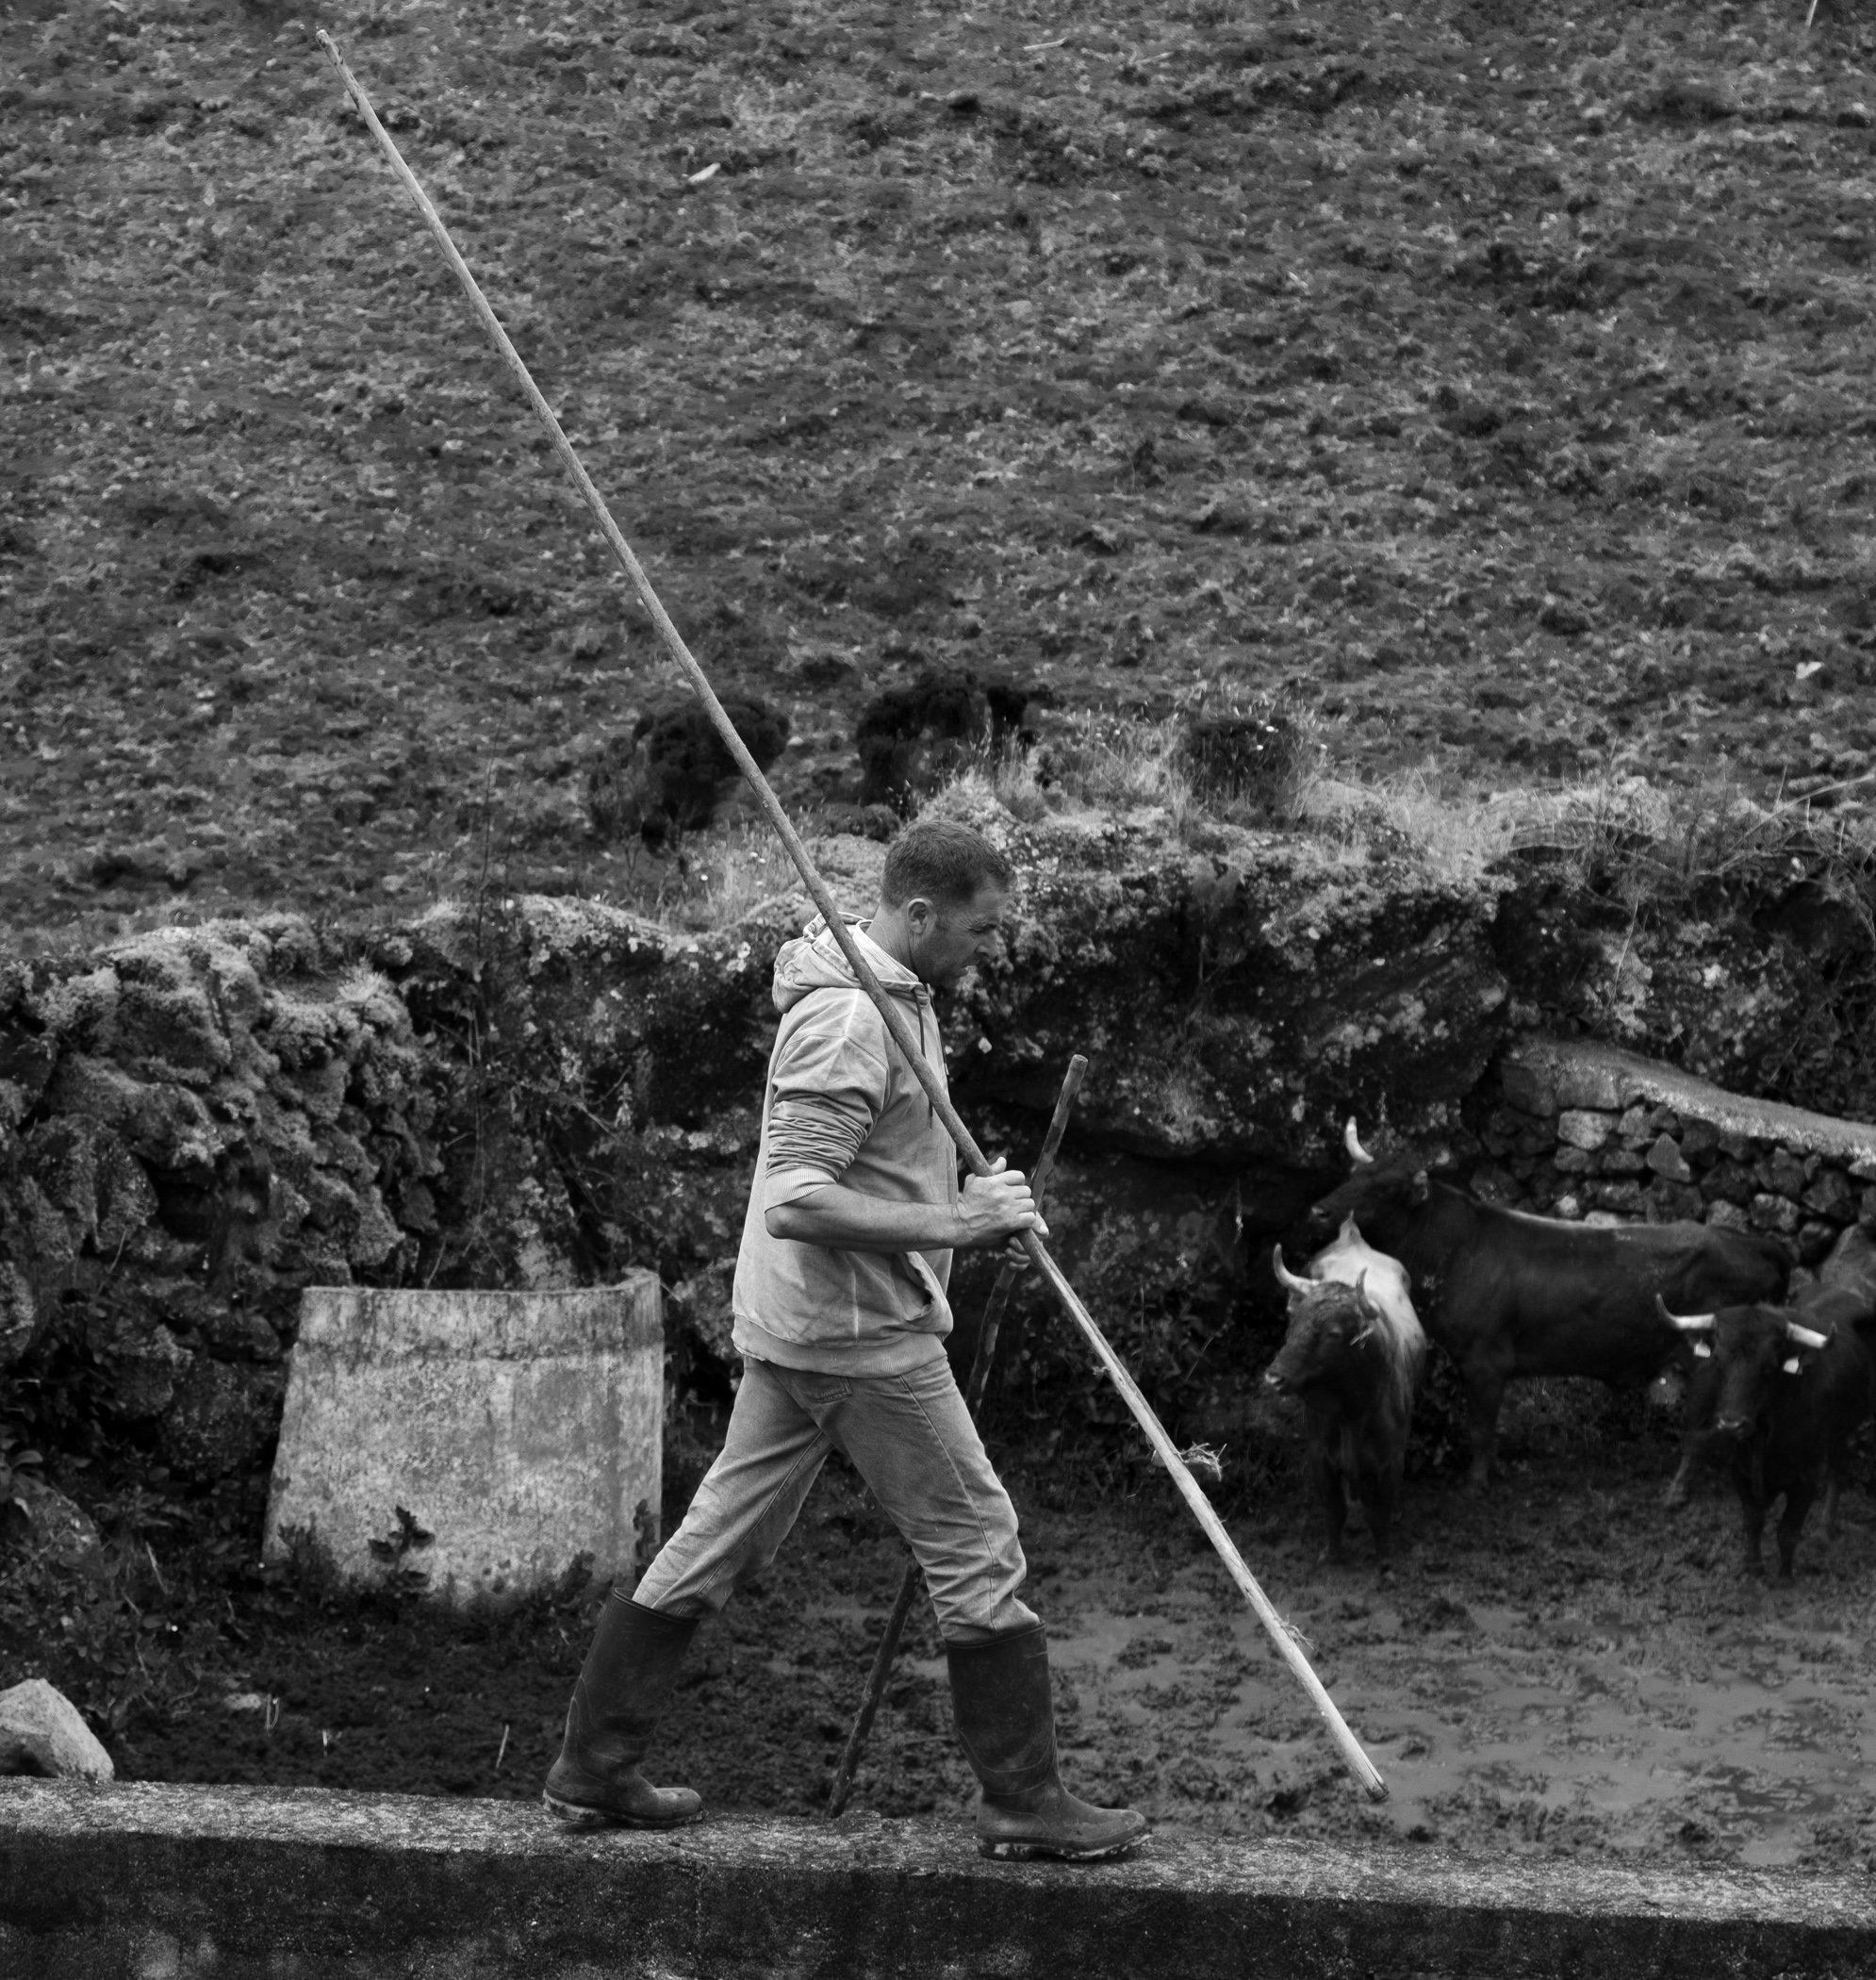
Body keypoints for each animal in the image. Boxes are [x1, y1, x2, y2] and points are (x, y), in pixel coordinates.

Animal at [1266, 1219, 1432, 1559]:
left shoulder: (1392, 1460)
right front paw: (1332, 1556)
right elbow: (1335, 1510)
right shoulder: (1320, 1456)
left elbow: (1380, 1514)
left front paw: (1384, 1558)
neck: (1353, 1411)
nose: (1275, 1378)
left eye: (1333, 1334)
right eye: (1293, 1322)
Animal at [1298, 1132, 1797, 1489]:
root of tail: (1746, 1240)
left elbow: (1480, 1429)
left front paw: (1476, 1486)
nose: (1318, 1211)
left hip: (1711, 1362)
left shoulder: (1485, 1361)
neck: (1459, 1250)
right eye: (1351, 1175)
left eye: (1382, 1188)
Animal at [1662, 1219, 1876, 1576]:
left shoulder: (1805, 1479)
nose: (1731, 1424)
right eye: (1718, 1359)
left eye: (1769, 1366)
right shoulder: (1739, 1470)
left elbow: (1787, 1530)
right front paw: (1753, 1567)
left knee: (1836, 1470)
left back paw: (1823, 1531)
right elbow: (1754, 1520)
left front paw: (1784, 1576)